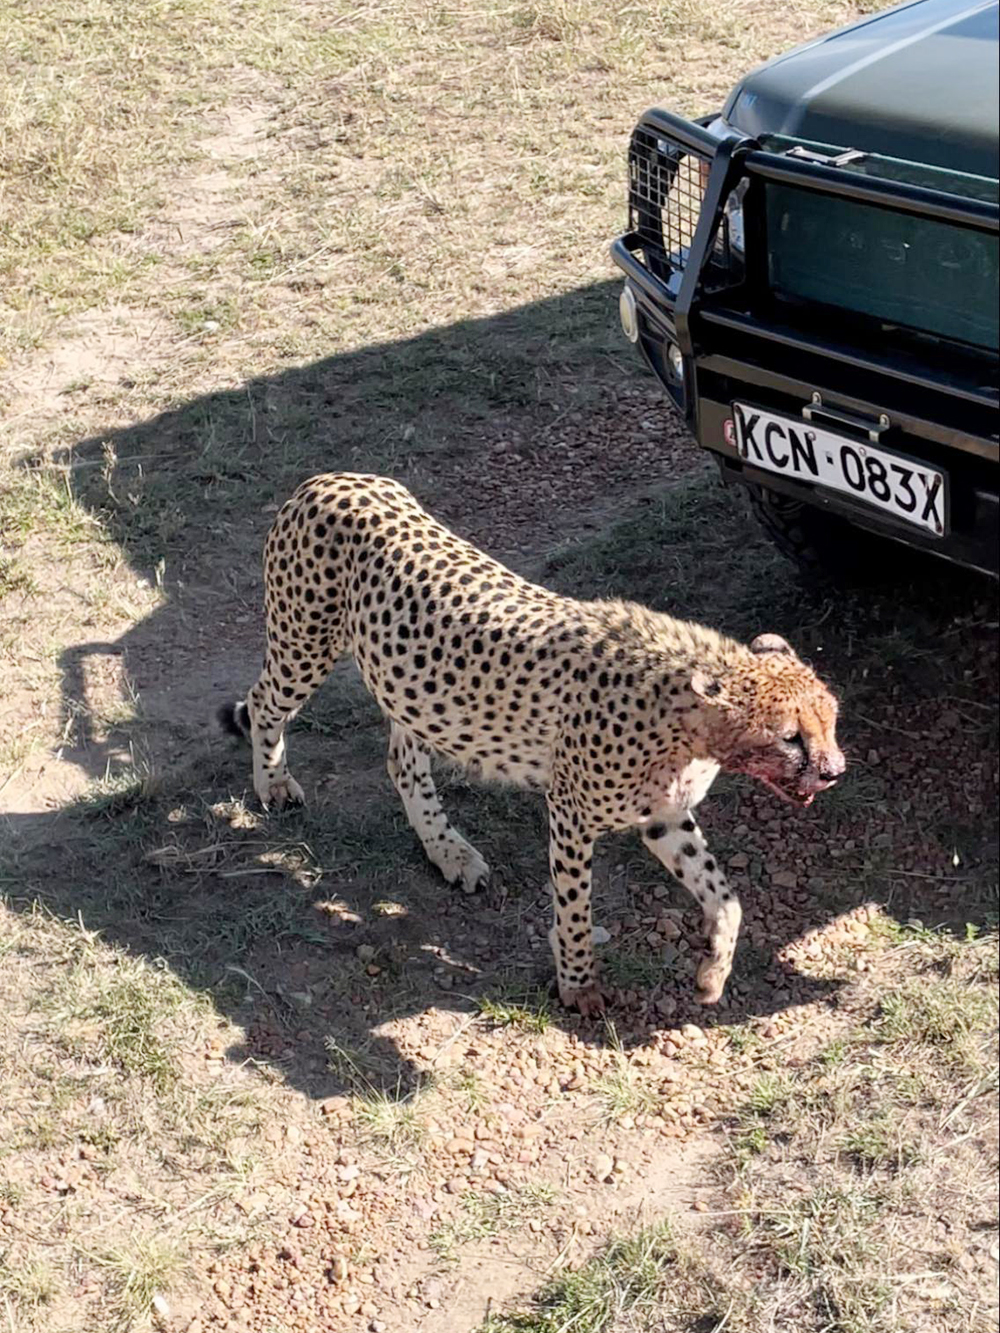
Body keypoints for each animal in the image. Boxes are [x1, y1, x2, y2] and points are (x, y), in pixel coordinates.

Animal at [218, 474, 848, 1013]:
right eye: (791, 737)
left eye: (832, 720)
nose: (835, 770)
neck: (686, 719)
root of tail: (331, 478)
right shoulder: (570, 812)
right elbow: (574, 905)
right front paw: (579, 985)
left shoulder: (664, 817)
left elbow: (725, 897)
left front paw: (713, 973)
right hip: (304, 646)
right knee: (264, 702)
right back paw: (273, 784)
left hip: (410, 690)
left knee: (403, 763)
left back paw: (448, 851)